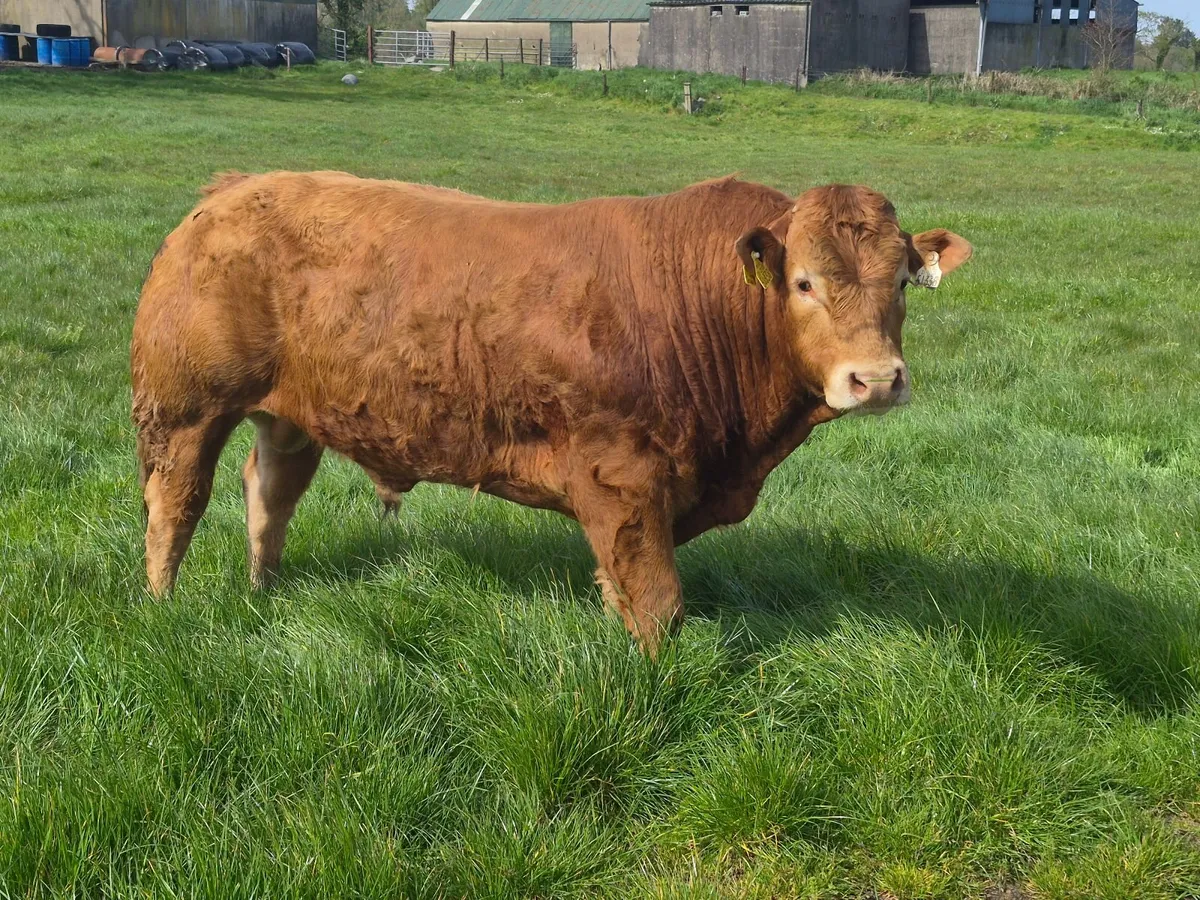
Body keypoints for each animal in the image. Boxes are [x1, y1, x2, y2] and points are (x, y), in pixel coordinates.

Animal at [131, 172, 971, 655]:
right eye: (803, 283)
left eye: (902, 281)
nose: (875, 379)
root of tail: (230, 191)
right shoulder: (622, 477)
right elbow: (658, 606)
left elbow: (621, 590)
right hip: (184, 404)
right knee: (177, 502)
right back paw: (162, 606)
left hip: (290, 412)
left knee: (269, 491)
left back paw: (263, 589)